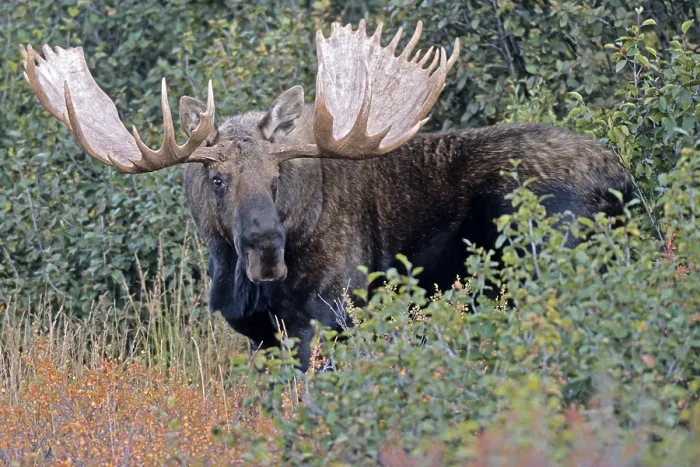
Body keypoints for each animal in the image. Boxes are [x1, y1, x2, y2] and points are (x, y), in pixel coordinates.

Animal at [21, 20, 632, 372]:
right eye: (217, 179)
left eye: (277, 173)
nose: (266, 246)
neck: (246, 287)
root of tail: (621, 180)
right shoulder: (261, 336)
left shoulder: (331, 315)